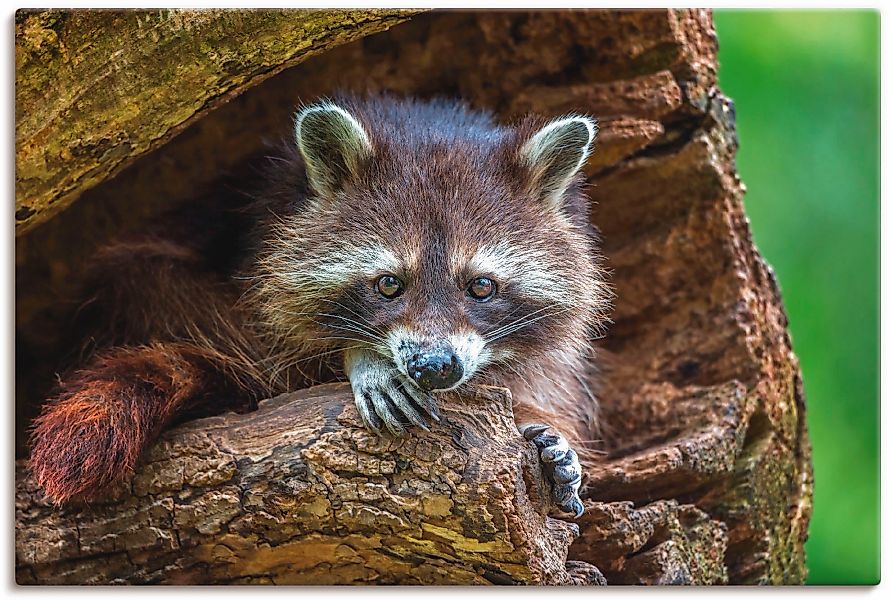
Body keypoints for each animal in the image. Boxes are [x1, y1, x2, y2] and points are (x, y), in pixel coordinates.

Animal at [29, 94, 612, 516]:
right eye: (388, 285)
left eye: (482, 287)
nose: (434, 368)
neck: (430, 123)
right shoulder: (261, 237)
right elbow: (271, 348)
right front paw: (362, 358)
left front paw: (542, 428)